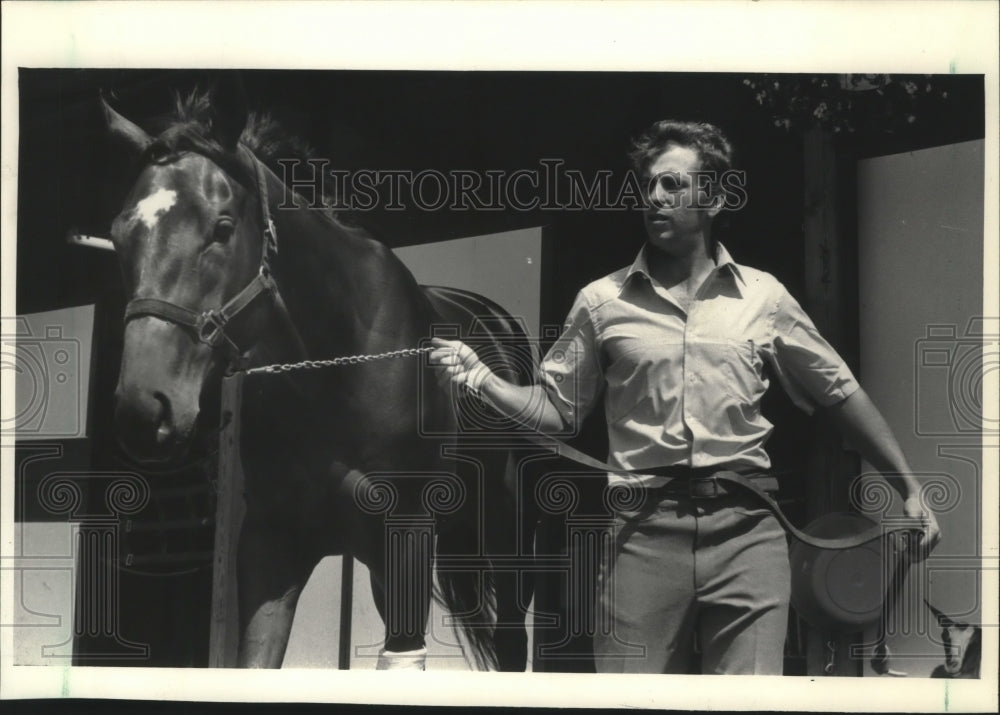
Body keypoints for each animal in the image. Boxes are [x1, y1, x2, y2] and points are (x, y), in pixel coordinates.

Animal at [102, 85, 540, 672]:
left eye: (222, 228)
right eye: (119, 235)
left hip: (506, 536)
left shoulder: (405, 539)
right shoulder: (272, 549)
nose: (144, 409)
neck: (336, 374)